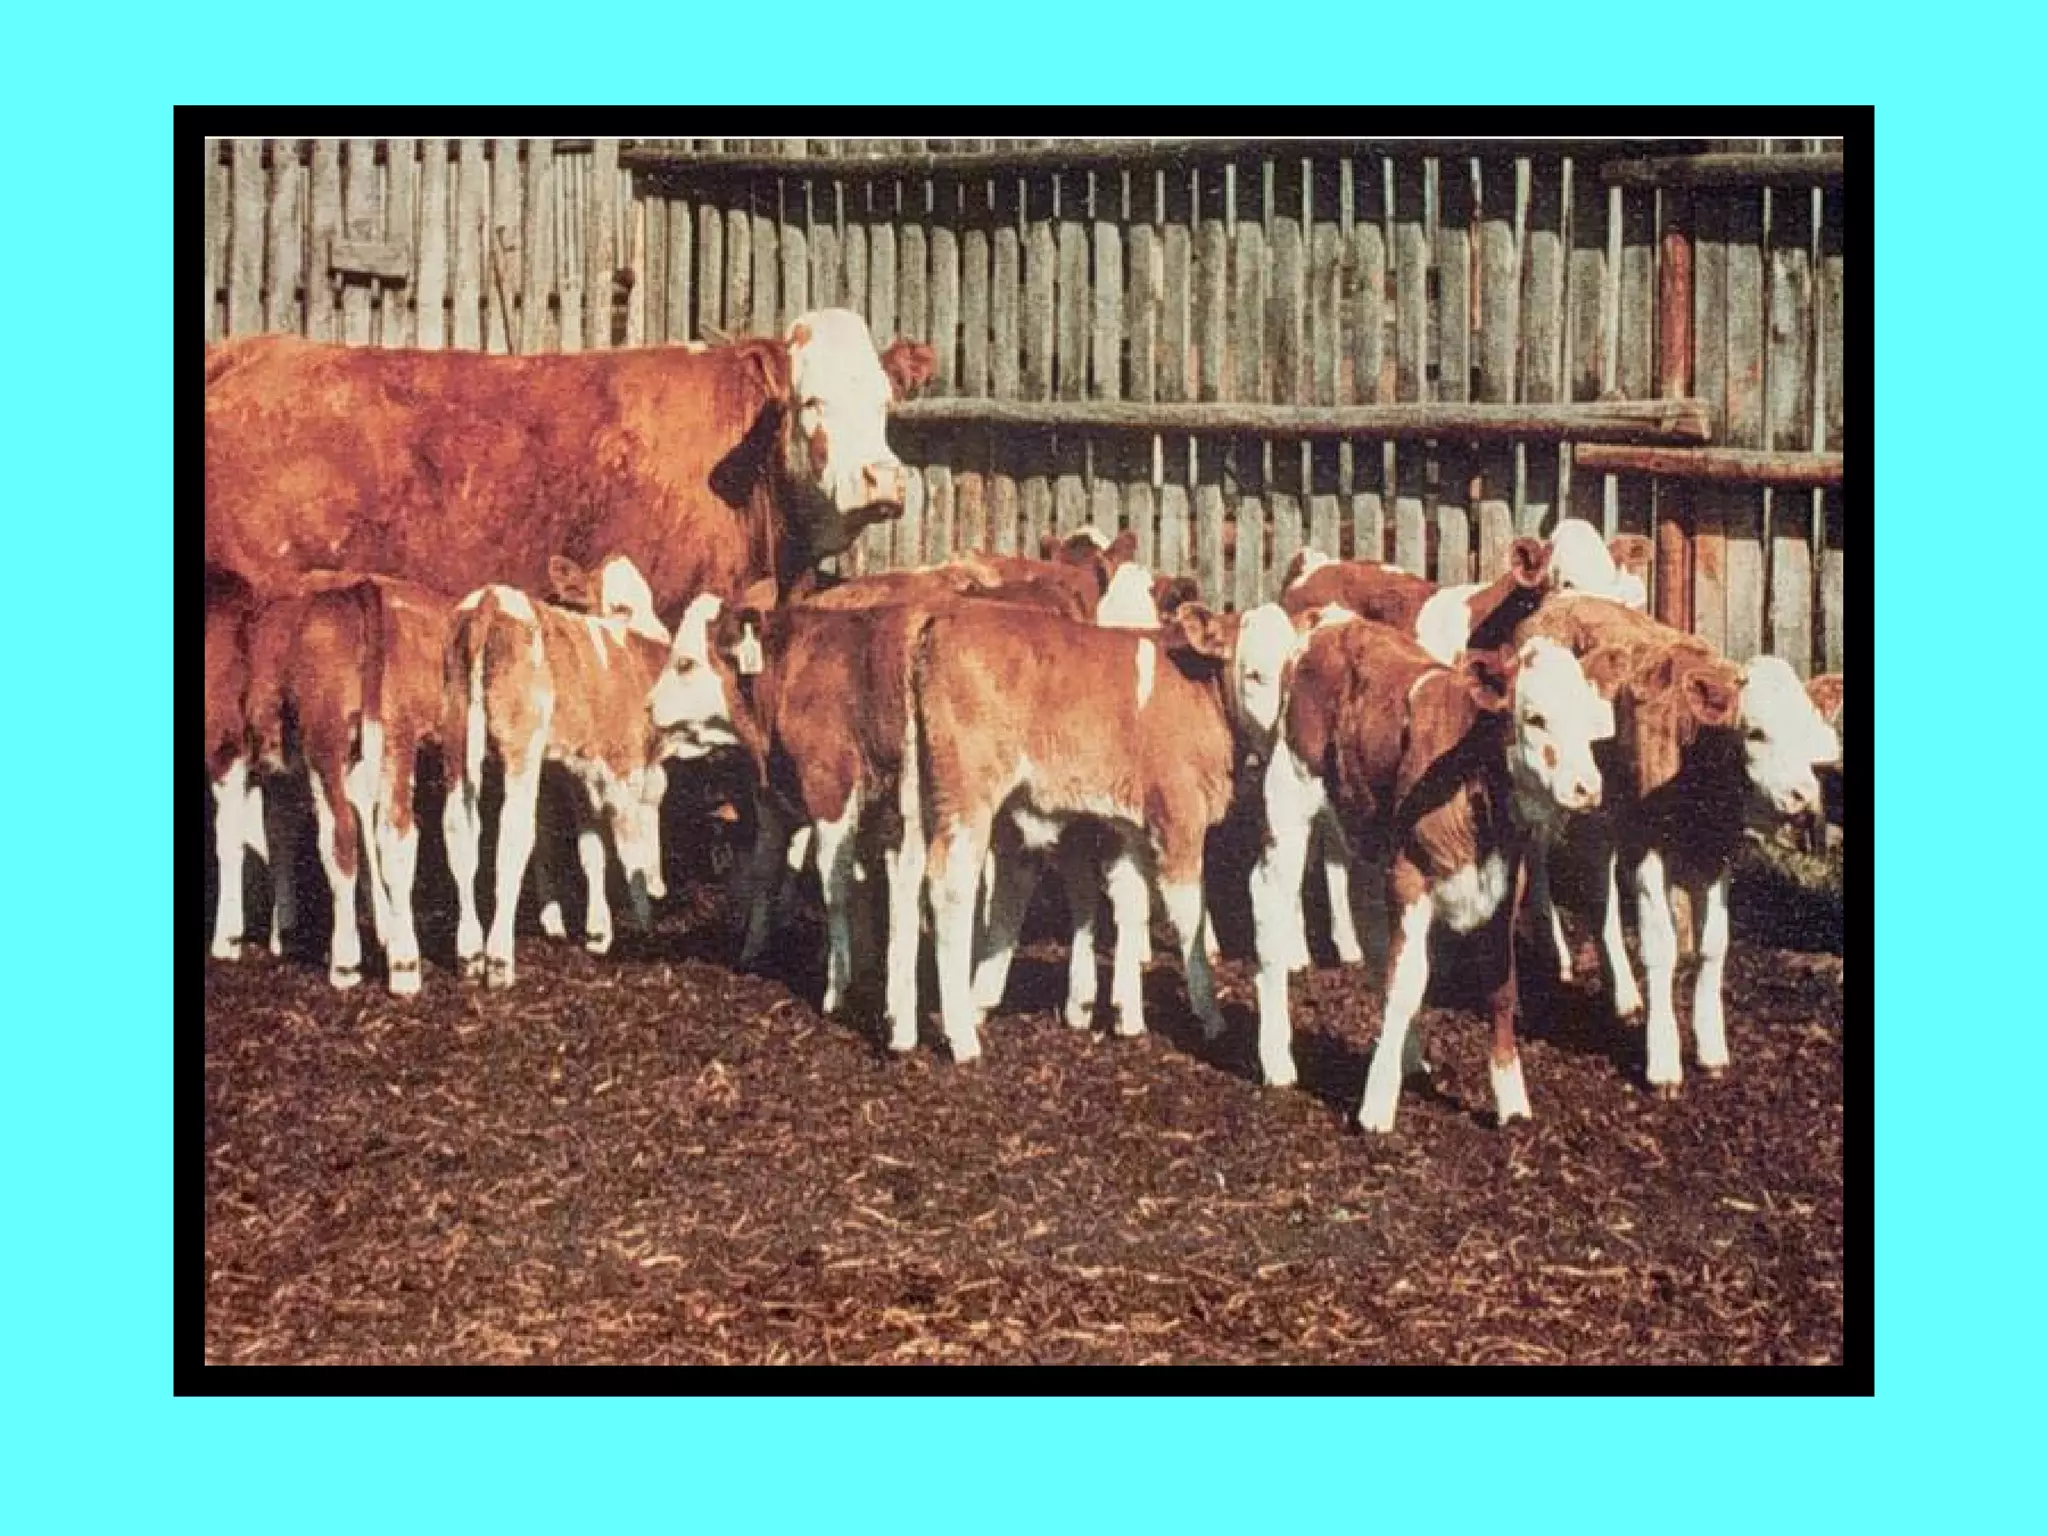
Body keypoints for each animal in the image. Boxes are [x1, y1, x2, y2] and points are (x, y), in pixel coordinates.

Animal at [241, 573, 455, 993]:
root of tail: (359, 589)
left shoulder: (279, 765)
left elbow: (278, 831)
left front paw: (282, 931)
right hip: (401, 734)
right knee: (397, 833)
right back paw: (404, 964)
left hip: (325, 739)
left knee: (338, 835)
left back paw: (345, 963)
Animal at [442, 555, 726, 989]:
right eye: (623, 606)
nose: (662, 637)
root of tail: (489, 602)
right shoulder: (620, 763)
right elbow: (627, 842)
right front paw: (642, 921)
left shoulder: (577, 770)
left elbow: (590, 846)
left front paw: (595, 931)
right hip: (521, 747)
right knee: (512, 836)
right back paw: (500, 960)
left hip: (457, 737)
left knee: (460, 830)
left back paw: (469, 955)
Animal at [1247, 620, 1627, 1132]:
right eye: (1535, 718)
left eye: (1589, 720)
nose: (1587, 788)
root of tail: (1329, 627)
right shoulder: (1411, 874)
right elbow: (1410, 983)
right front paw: (1376, 1105)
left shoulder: (1505, 883)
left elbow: (1500, 987)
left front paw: (1512, 1101)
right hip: (1288, 798)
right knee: (1269, 905)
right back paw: (1276, 1060)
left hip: (1368, 840)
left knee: (1373, 936)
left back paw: (1409, 1057)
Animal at [1514, 596, 1843, 1094]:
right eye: (1755, 732)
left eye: (1808, 733)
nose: (1802, 795)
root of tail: (1559, 601)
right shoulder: (1650, 850)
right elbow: (1661, 947)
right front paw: (1664, 1060)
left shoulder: (1716, 854)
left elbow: (1712, 946)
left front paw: (1711, 1048)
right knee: (1537, 852)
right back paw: (1556, 949)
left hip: (1606, 809)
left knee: (1601, 886)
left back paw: (1622, 992)